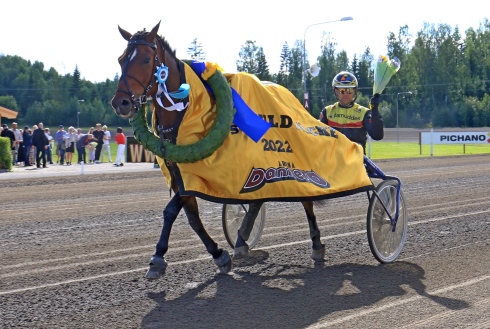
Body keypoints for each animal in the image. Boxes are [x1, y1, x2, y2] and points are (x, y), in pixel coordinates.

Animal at [112, 22, 364, 280]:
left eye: (145, 59)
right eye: (121, 59)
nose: (120, 102)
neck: (186, 112)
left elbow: (171, 210)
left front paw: (158, 257)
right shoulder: (182, 175)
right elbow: (192, 218)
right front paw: (218, 254)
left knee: (305, 199)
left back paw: (316, 244)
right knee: (257, 199)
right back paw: (242, 240)